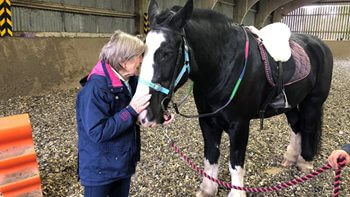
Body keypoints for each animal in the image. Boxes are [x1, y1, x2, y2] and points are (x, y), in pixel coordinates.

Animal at [134, 0, 334, 196]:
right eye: (143, 52)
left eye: (167, 53)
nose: (144, 113)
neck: (223, 66)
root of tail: (319, 44)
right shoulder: (207, 122)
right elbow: (210, 157)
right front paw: (208, 189)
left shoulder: (239, 125)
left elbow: (235, 163)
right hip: (290, 104)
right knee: (296, 125)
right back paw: (290, 158)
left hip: (313, 102)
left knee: (308, 126)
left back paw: (305, 162)